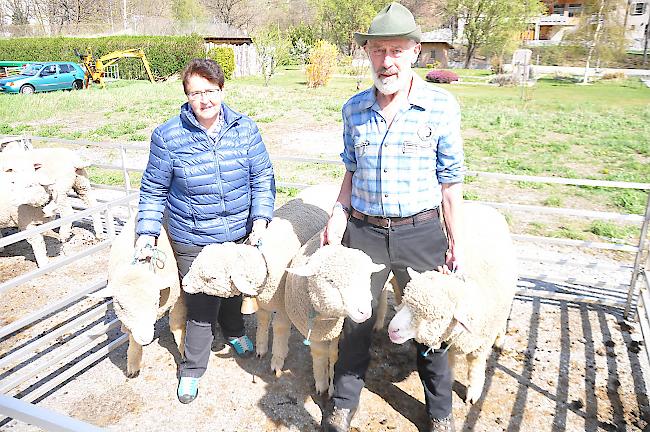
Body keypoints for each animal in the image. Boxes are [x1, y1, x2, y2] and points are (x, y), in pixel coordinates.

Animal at [99, 216, 185, 378]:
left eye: (155, 302)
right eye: (120, 306)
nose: (145, 337)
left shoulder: (177, 297)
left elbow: (177, 325)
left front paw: (184, 350)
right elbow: (132, 336)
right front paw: (133, 363)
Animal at [180, 185, 336, 374]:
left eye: (212, 277)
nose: (184, 283)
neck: (263, 262)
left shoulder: (283, 306)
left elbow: (280, 328)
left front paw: (277, 359)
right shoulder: (261, 302)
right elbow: (262, 320)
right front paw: (261, 348)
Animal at [284, 233, 384, 398]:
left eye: (367, 277)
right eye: (330, 280)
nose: (365, 312)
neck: (325, 320)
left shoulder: (337, 332)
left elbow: (334, 356)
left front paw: (331, 389)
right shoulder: (316, 331)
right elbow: (319, 355)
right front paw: (321, 384)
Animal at [384, 201, 516, 404]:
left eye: (434, 316)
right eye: (407, 302)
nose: (392, 329)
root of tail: (482, 206)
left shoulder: (482, 342)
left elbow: (476, 364)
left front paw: (473, 392)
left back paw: (500, 339)